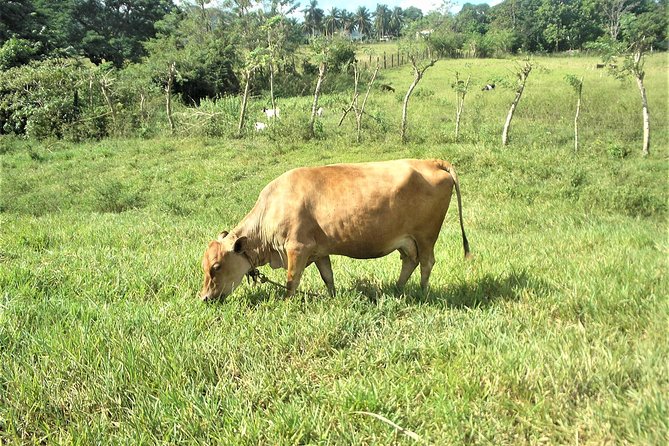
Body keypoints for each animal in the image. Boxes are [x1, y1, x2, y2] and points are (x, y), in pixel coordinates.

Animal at [198, 159, 470, 302]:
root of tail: (431, 161)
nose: (204, 297)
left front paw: (287, 303)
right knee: (409, 261)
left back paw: (423, 292)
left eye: (216, 267)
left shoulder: (297, 248)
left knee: (426, 262)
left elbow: (291, 280)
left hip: (426, 236)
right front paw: (332, 297)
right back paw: (397, 288)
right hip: (407, 241)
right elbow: (327, 277)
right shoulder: (319, 251)